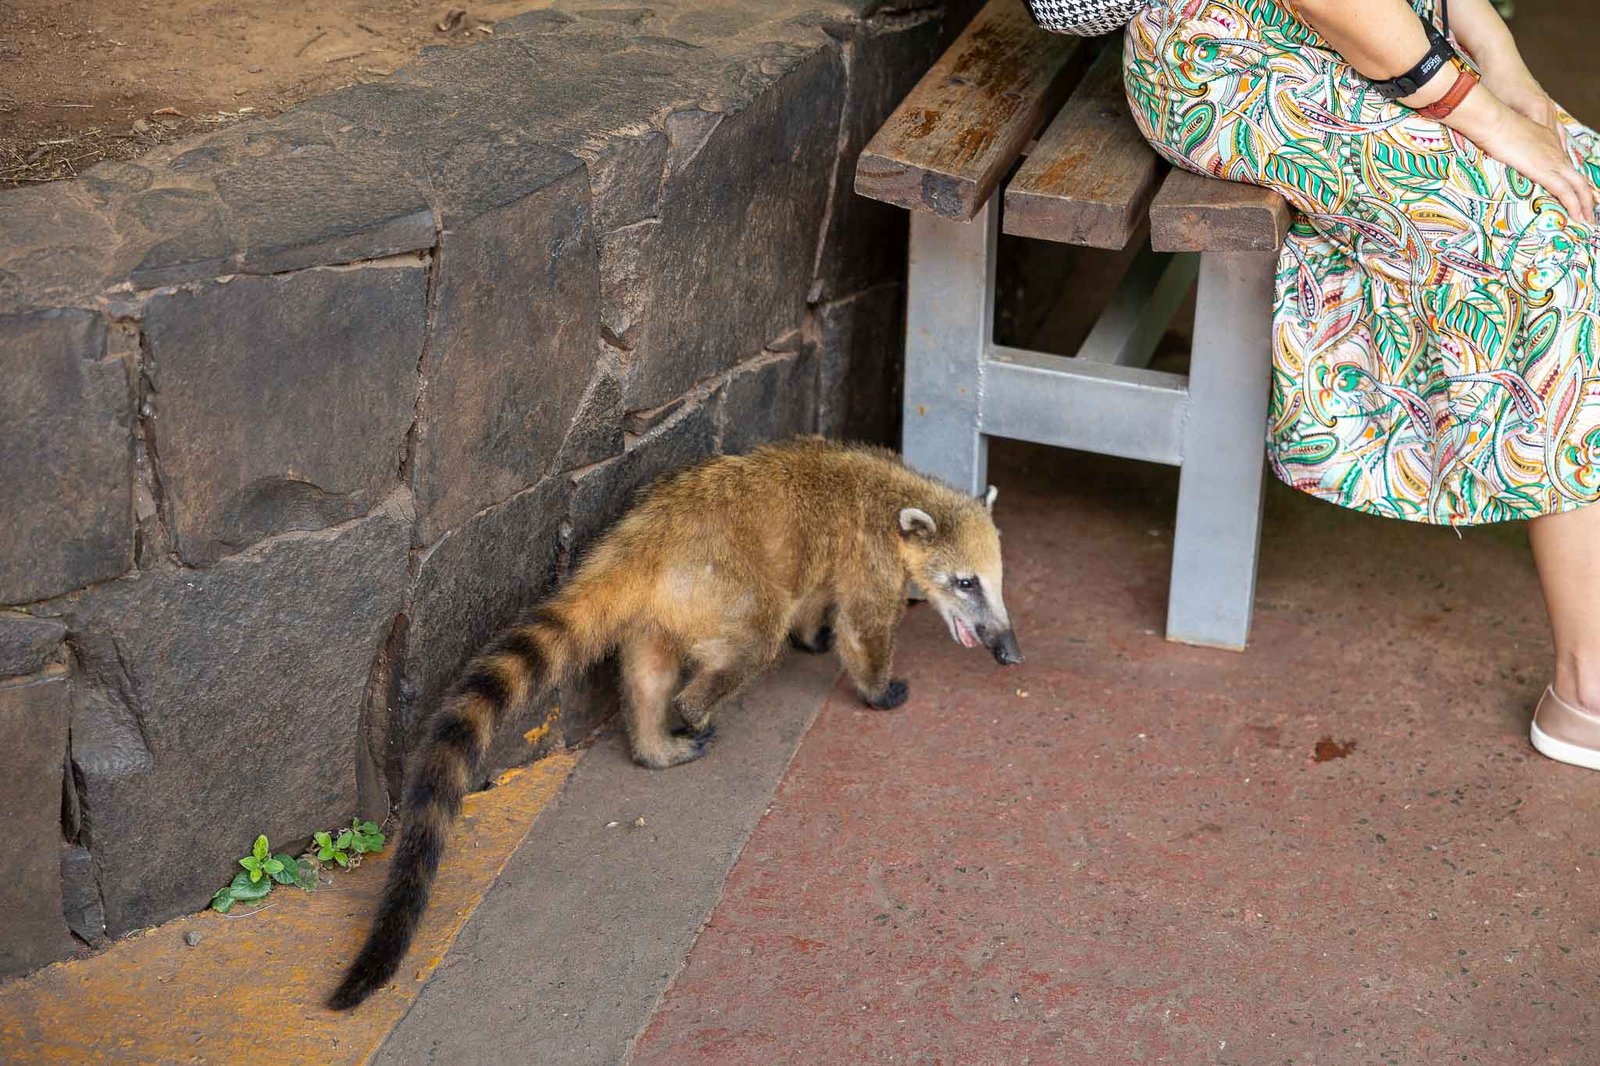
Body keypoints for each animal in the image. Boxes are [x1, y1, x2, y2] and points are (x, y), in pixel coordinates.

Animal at [329, 437, 1021, 1009]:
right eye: (965, 583)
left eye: (995, 581)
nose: (1008, 651)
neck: (900, 493)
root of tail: (642, 544)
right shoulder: (870, 557)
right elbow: (864, 628)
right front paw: (878, 687)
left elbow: (817, 601)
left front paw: (813, 634)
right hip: (722, 587)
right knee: (750, 640)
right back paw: (693, 708)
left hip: (659, 609)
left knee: (647, 674)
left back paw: (654, 742)